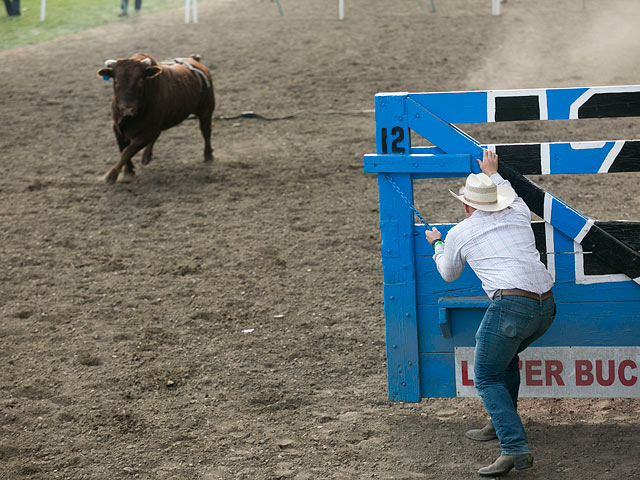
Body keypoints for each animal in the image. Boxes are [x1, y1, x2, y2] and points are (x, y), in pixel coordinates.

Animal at [95, 52, 215, 184]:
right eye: (116, 81)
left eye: (140, 81)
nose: (127, 109)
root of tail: (194, 60)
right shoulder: (117, 127)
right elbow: (123, 149)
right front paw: (128, 171)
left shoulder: (148, 131)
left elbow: (128, 151)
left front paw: (111, 175)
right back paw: (146, 156)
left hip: (206, 111)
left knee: (206, 132)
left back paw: (208, 155)